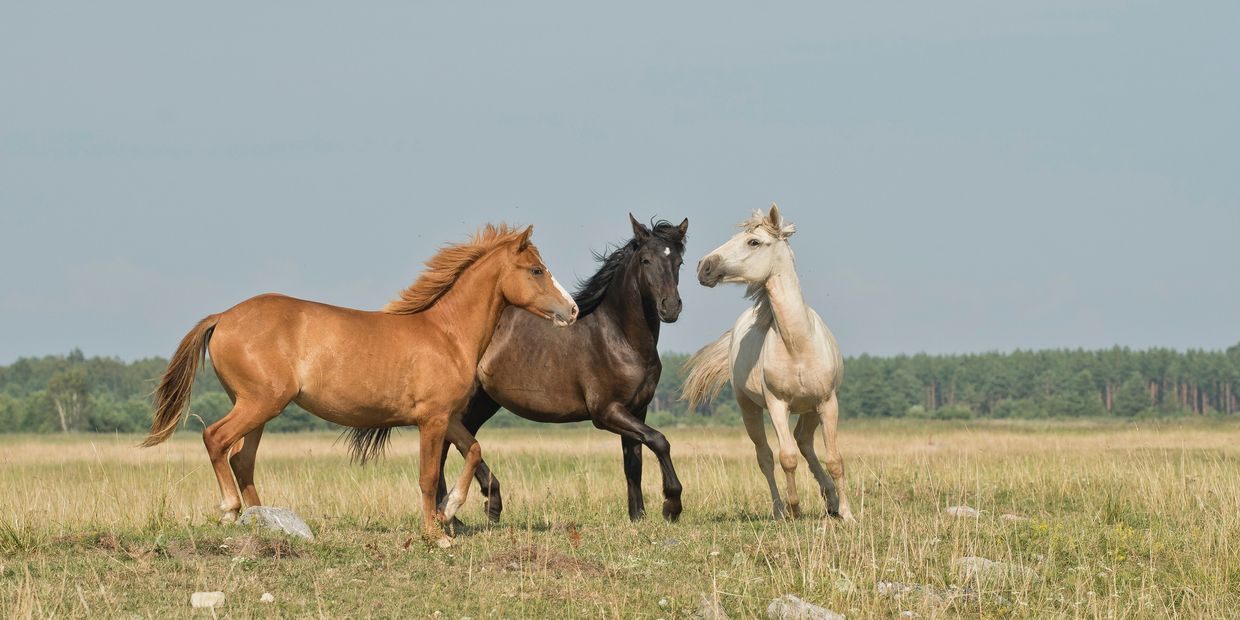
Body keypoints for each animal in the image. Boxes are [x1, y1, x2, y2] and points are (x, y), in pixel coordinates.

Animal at [141, 224, 579, 547]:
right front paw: (436, 534)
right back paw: (231, 511)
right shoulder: (432, 420)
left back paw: (264, 521)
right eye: (536, 270)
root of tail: (223, 316)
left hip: (259, 409)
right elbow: (427, 476)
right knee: (216, 439)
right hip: (259, 403)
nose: (572, 310)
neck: (446, 334)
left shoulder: (448, 417)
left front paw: (451, 509)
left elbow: (473, 450)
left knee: (241, 459)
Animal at [436, 215, 688, 523]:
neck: (620, 338)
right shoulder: (606, 412)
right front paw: (671, 505)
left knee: (459, 441)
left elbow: (634, 462)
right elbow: (659, 440)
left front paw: (638, 516)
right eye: (646, 260)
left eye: (678, 262)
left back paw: (471, 509)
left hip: (484, 401)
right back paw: (466, 509)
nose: (671, 307)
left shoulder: (637, 409)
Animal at [683, 205, 854, 521]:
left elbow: (835, 459)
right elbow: (786, 458)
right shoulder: (777, 405)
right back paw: (779, 510)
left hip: (810, 409)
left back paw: (831, 501)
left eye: (754, 242)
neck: (798, 345)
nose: (704, 266)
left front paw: (847, 514)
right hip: (749, 408)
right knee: (766, 456)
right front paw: (795, 509)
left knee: (804, 442)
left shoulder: (827, 403)